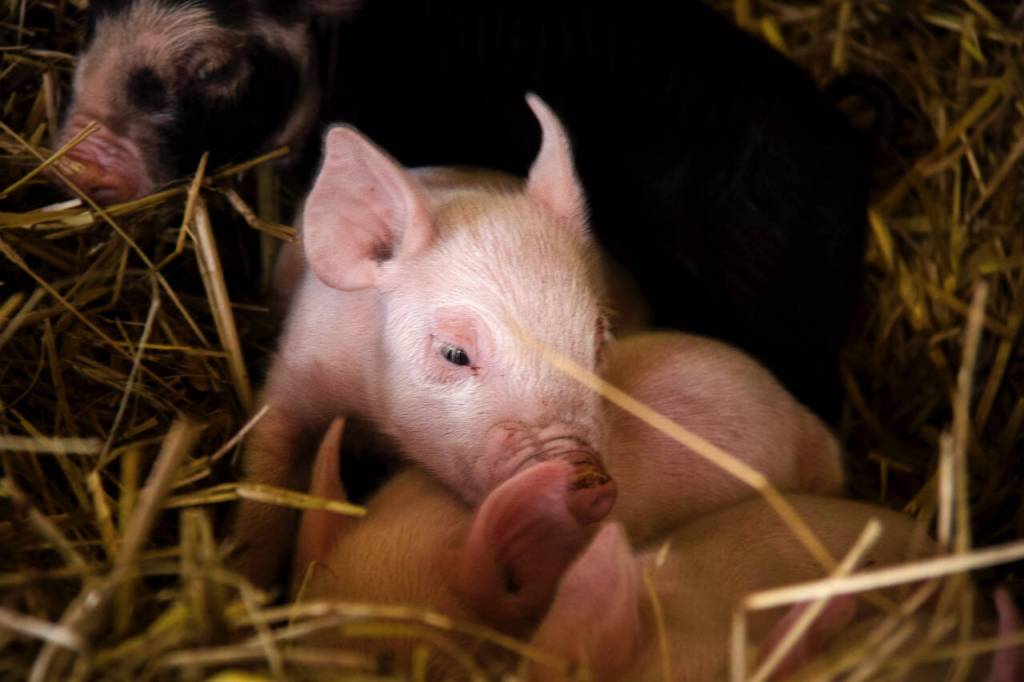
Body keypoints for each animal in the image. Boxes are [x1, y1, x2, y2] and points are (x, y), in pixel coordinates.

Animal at [233, 95, 614, 587]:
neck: (371, 419)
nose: (587, 478)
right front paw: (245, 575)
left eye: (598, 342)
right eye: (454, 353)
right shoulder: (297, 374)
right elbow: (265, 482)